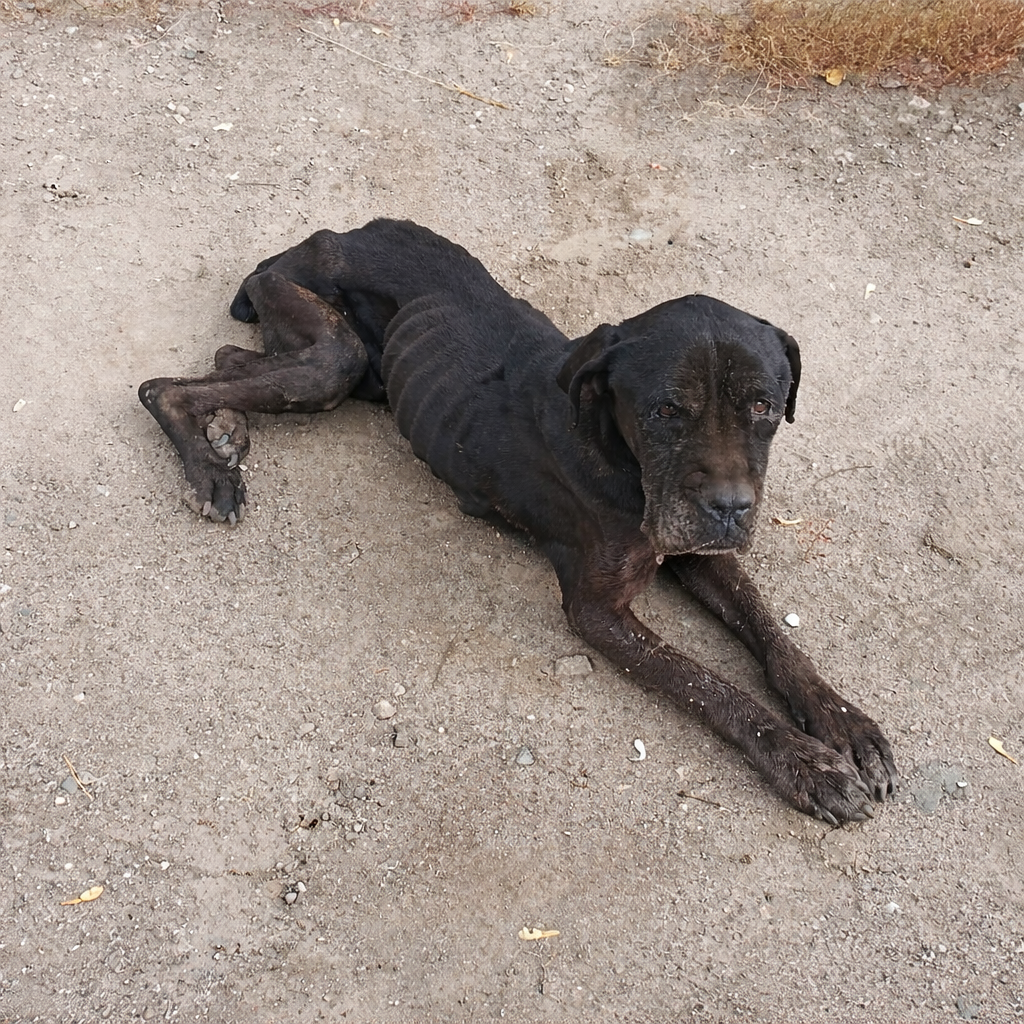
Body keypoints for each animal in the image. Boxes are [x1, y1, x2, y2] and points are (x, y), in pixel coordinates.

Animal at [139, 218, 896, 823]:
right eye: (666, 410)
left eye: (764, 405)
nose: (733, 509)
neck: (617, 451)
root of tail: (323, 236)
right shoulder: (598, 610)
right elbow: (708, 686)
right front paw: (805, 763)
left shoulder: (696, 553)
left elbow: (770, 631)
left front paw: (843, 721)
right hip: (333, 356)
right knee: (161, 385)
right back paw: (211, 467)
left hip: (347, 375)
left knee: (230, 356)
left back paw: (228, 431)